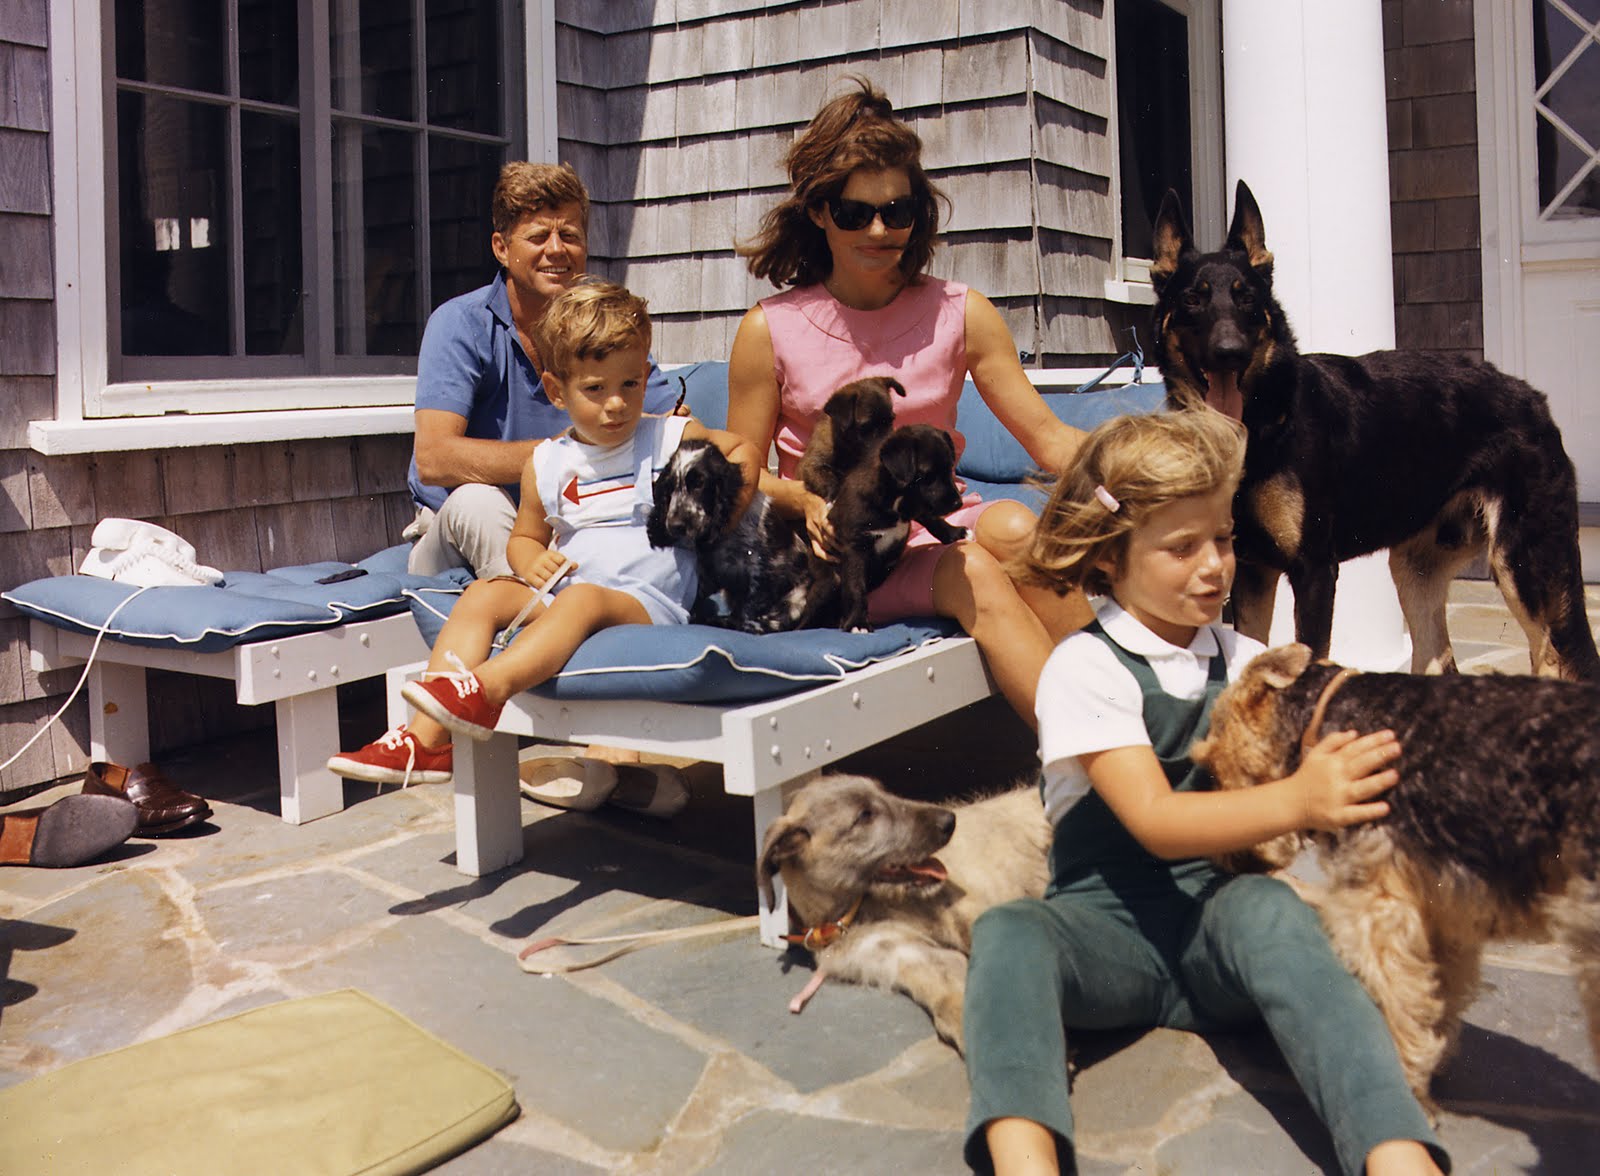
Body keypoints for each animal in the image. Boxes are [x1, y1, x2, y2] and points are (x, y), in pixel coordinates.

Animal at [643, 438, 838, 633]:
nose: (674, 526)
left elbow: (747, 612)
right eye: (669, 487)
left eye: (699, 483)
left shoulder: (761, 569)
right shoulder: (707, 572)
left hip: (796, 598)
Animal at [758, 777, 1049, 1056]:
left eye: (885, 791)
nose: (949, 821)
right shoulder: (907, 953)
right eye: (864, 815)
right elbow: (948, 990)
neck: (863, 909)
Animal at [825, 419, 960, 630]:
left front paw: (956, 533)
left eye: (949, 469)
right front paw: (858, 622)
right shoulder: (855, 547)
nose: (958, 503)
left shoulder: (916, 506)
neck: (895, 501)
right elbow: (856, 586)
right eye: (927, 476)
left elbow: (933, 519)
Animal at [1190, 643, 1600, 1113]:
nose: (1230, 861)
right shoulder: (1442, 910)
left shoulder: (1376, 907)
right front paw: (1432, 1062)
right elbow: (1434, 996)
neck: (1325, 719)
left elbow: (1396, 1002)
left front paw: (1408, 1085)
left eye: (1210, 766)